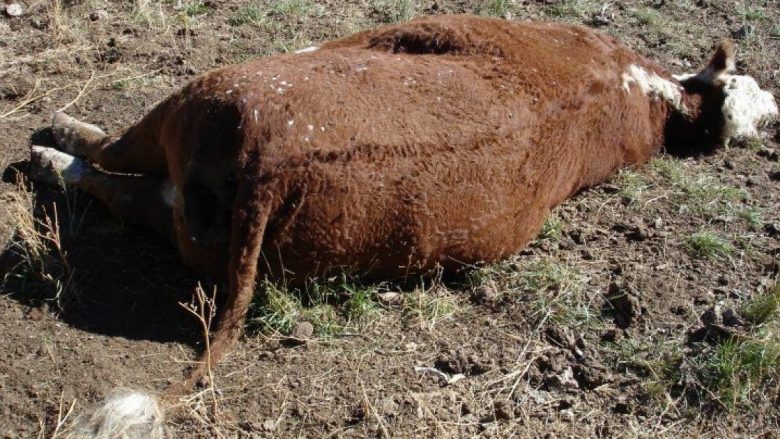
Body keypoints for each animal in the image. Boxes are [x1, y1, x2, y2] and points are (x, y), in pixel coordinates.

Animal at [27, 13, 776, 436]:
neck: (645, 94)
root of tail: (273, 164)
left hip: (193, 105)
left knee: (106, 159)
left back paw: (51, 143)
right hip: (197, 221)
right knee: (126, 194)